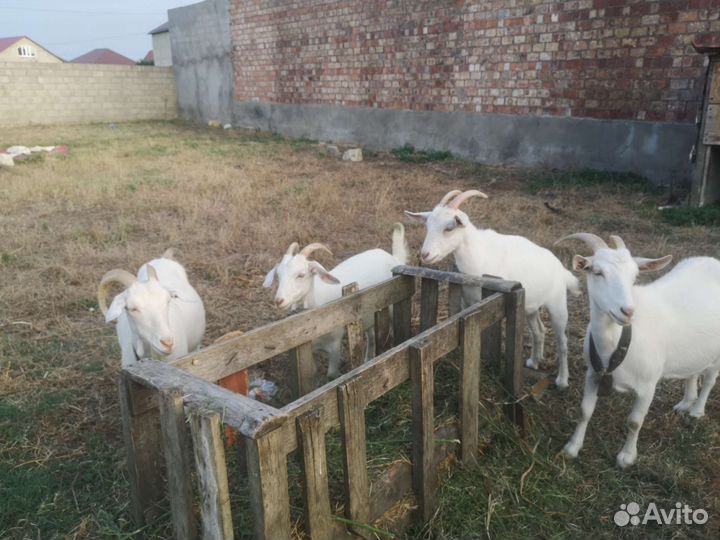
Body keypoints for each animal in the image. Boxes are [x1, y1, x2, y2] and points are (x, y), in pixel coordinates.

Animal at [263, 223, 408, 378]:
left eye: (301, 275)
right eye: (278, 275)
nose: (279, 300)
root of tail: (393, 258)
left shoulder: (335, 343)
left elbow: (332, 374)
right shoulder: (309, 349)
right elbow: (313, 372)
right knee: (371, 335)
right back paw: (368, 359)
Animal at [405, 189, 580, 388]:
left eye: (449, 228)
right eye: (427, 226)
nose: (424, 255)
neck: (477, 254)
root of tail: (562, 269)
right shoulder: (468, 301)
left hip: (557, 304)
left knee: (562, 342)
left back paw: (562, 380)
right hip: (531, 306)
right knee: (539, 331)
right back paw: (534, 361)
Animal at [557, 233, 720, 468]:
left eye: (635, 276)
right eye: (597, 272)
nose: (628, 311)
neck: (617, 341)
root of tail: (713, 261)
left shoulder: (647, 385)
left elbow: (634, 422)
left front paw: (626, 458)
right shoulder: (593, 374)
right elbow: (584, 411)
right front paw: (572, 448)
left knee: (709, 380)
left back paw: (697, 410)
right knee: (693, 372)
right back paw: (685, 403)